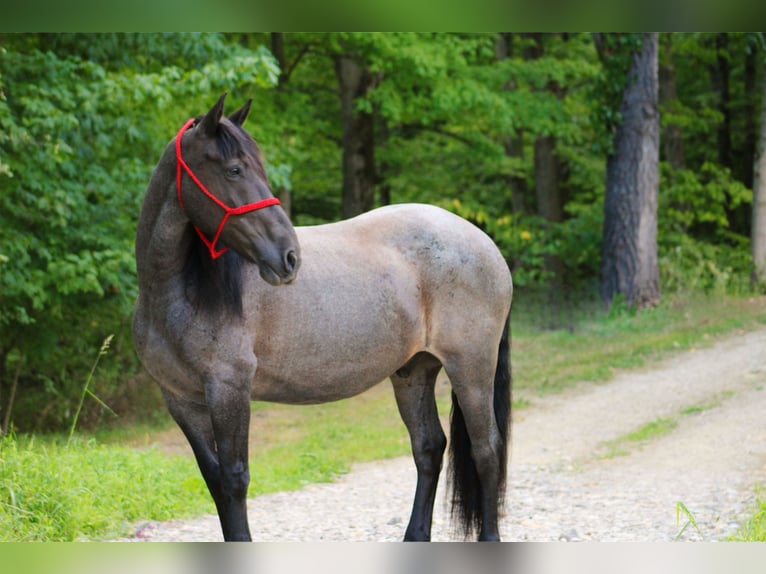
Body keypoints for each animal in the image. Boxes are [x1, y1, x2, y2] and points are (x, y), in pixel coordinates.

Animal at [134, 94, 516, 544]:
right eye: (234, 170)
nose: (289, 256)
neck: (176, 294)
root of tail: (486, 244)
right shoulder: (181, 400)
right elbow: (214, 481)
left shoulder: (229, 389)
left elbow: (234, 479)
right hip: (414, 371)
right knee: (428, 448)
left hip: (471, 367)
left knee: (485, 449)